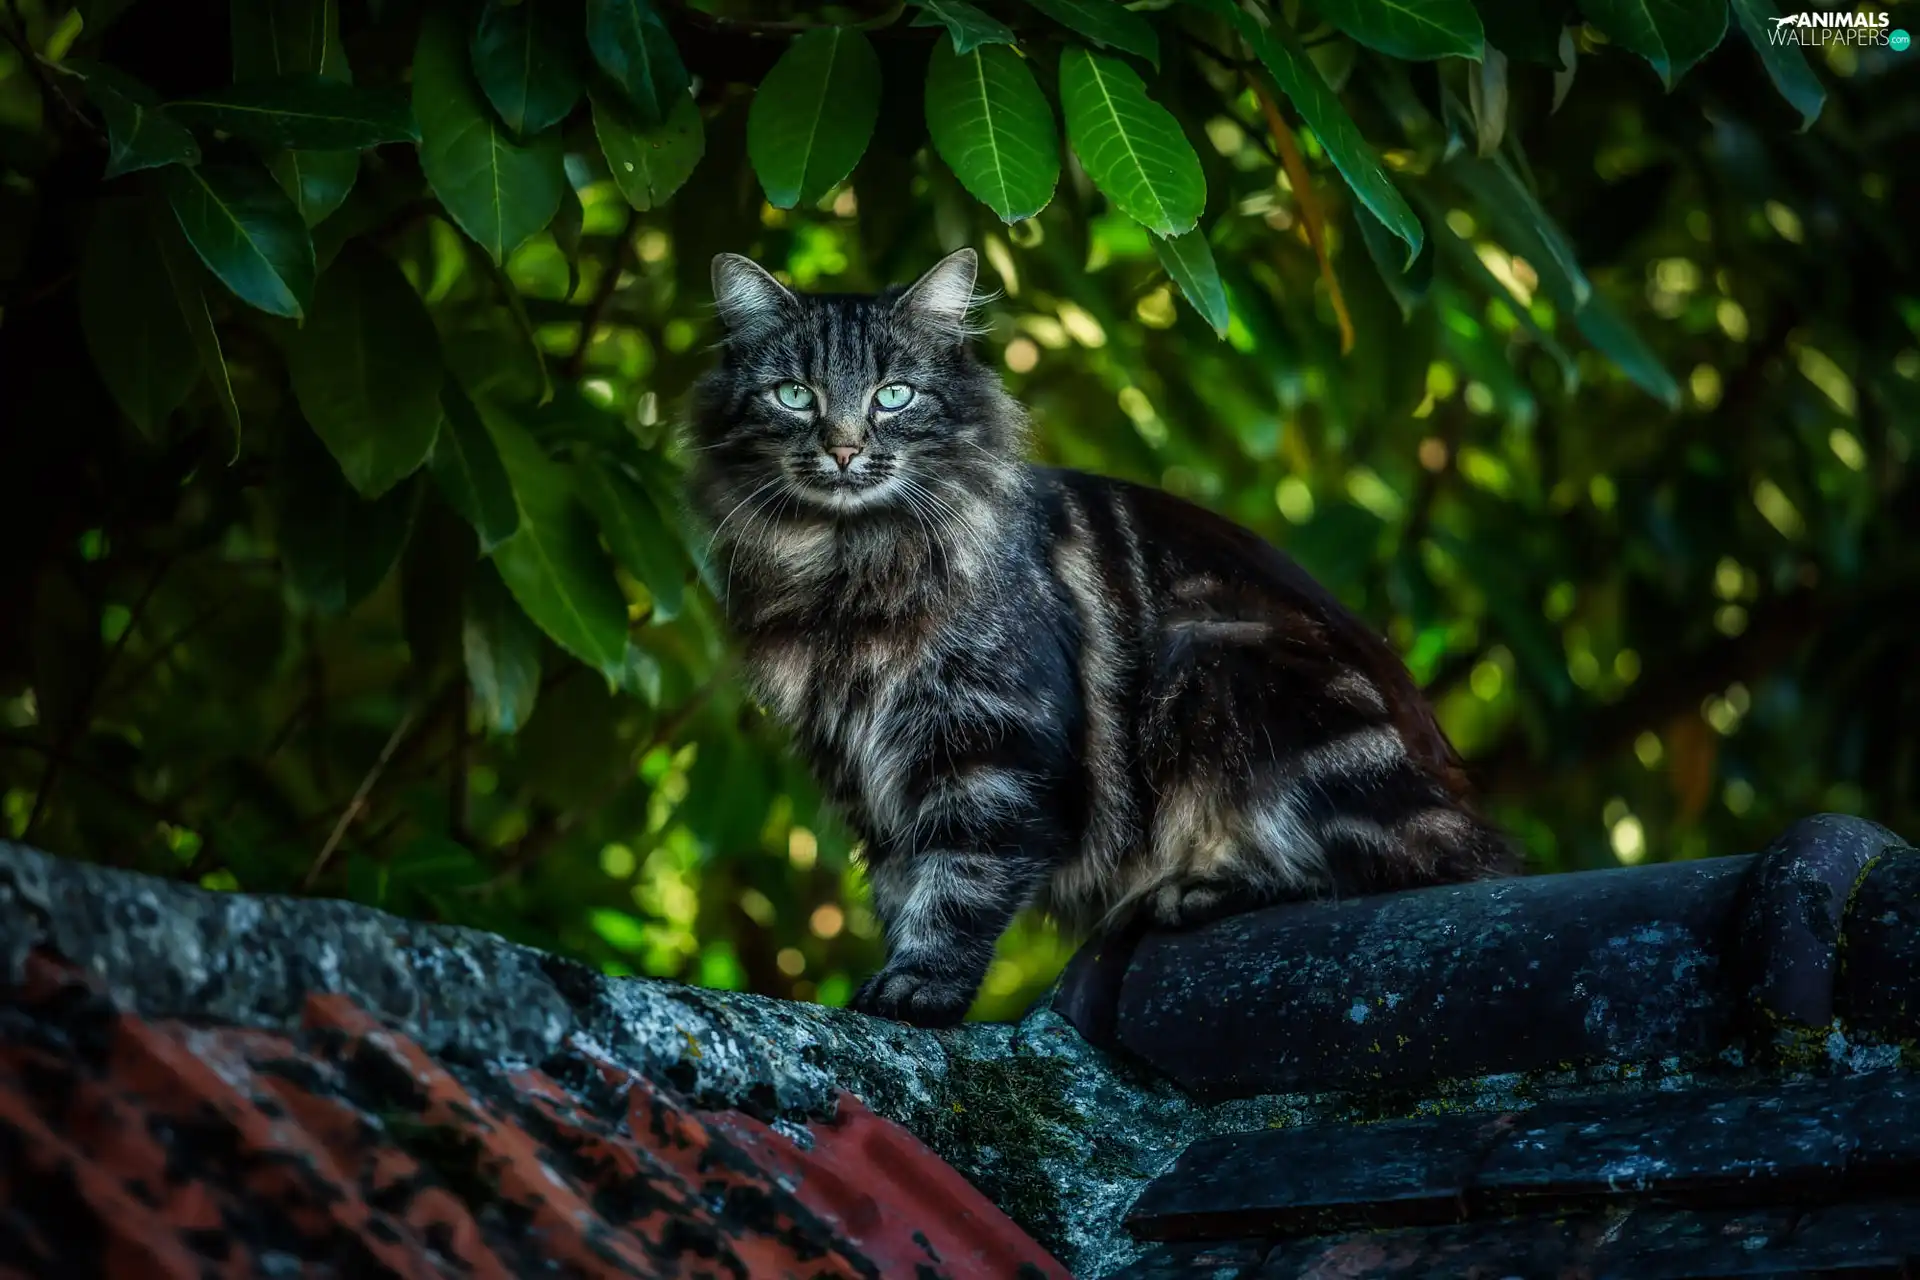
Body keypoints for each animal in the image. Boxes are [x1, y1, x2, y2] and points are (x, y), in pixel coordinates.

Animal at [687, 249, 1512, 1028]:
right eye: (796, 395)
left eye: (893, 396)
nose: (844, 449)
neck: (845, 567)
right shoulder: (863, 772)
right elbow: (903, 888)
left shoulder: (991, 750)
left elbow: (961, 884)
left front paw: (922, 987)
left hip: (1217, 658)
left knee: (1372, 872)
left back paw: (1189, 892)